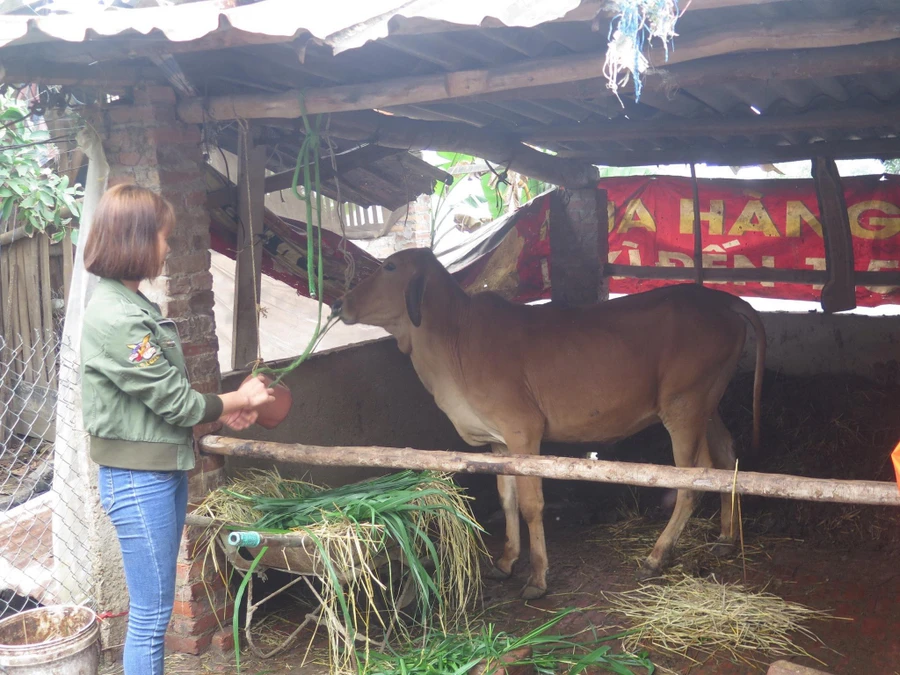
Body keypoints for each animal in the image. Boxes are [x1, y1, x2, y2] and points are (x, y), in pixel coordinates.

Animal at [332, 250, 768, 604]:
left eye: (389, 266)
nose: (339, 302)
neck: (454, 339)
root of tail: (723, 299)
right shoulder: (500, 444)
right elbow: (506, 500)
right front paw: (506, 561)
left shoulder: (524, 432)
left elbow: (531, 505)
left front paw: (538, 577)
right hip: (706, 404)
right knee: (724, 457)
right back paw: (726, 539)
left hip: (683, 406)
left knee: (691, 481)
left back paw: (656, 556)